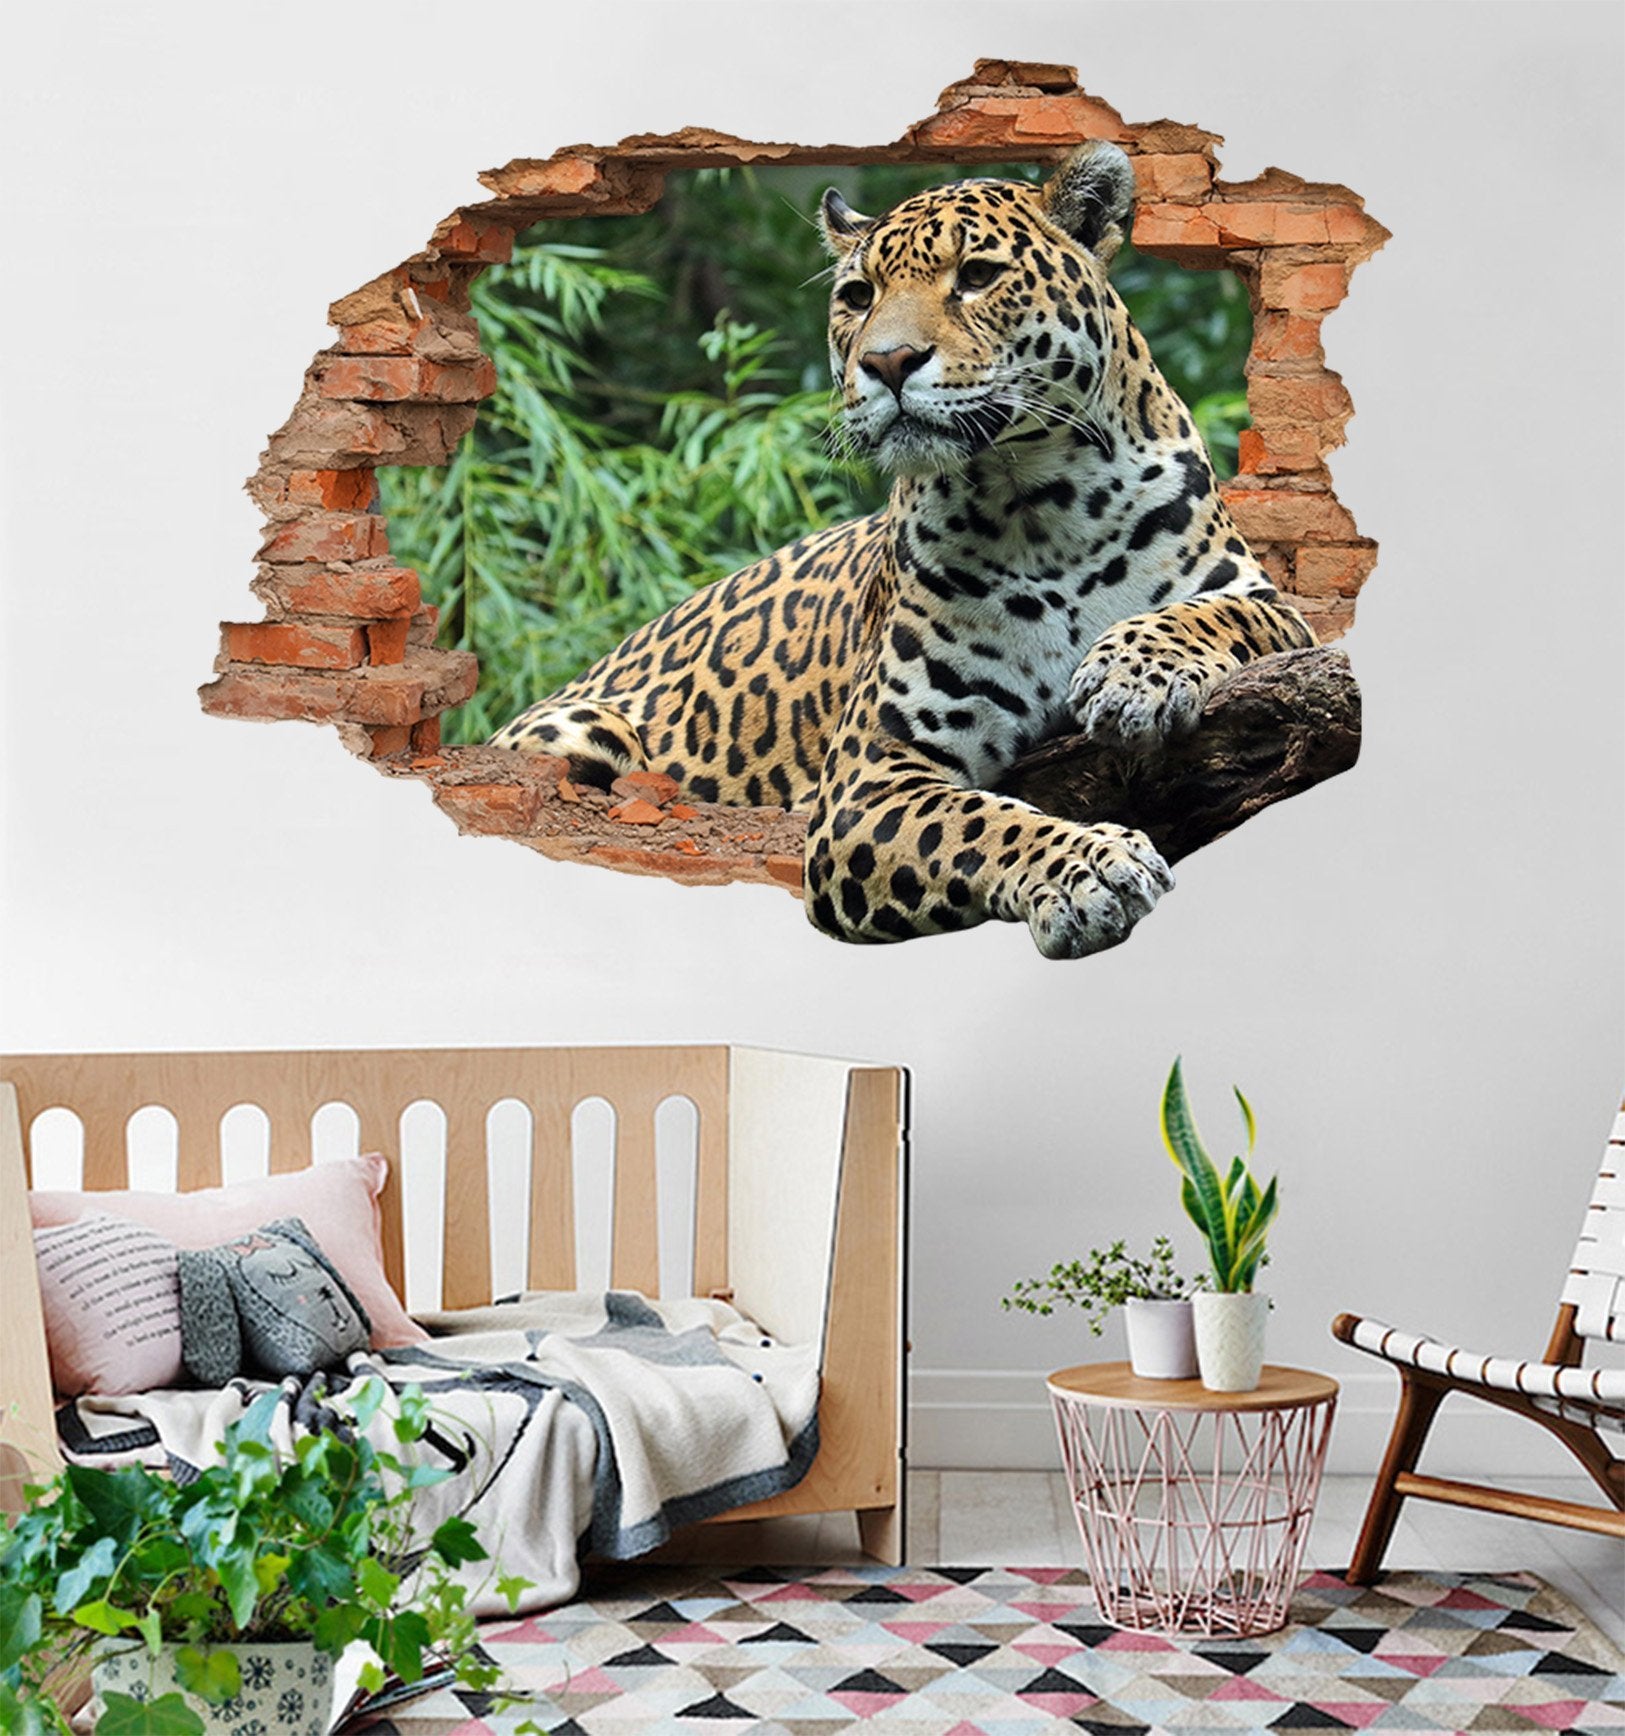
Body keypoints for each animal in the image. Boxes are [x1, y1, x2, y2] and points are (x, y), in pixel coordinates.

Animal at [491, 142, 1313, 957]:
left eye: (977, 276)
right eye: (858, 295)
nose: (886, 363)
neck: (1042, 502)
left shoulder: (1268, 602)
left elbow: (1208, 615)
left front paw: (1130, 679)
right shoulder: (868, 780)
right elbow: (986, 825)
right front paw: (1090, 867)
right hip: (578, 724)